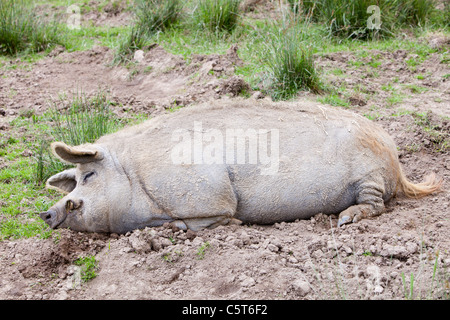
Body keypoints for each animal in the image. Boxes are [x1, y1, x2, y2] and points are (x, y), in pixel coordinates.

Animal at [40, 99, 442, 234]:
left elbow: (211, 219)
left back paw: (345, 220)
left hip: (370, 176)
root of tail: (395, 157)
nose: (47, 213)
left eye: (90, 175)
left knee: (376, 205)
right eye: (74, 181)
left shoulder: (210, 195)